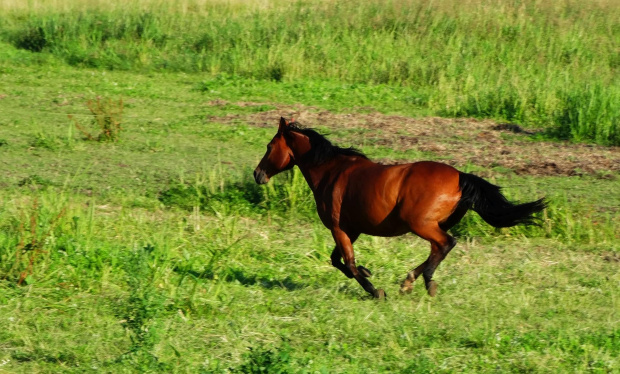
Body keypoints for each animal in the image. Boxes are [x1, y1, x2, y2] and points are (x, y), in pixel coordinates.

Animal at [254, 118, 544, 300]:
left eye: (269, 146)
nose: (258, 174)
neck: (332, 172)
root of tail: (460, 176)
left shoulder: (338, 228)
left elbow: (347, 261)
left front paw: (374, 290)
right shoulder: (352, 229)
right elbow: (338, 260)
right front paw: (368, 274)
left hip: (421, 224)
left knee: (445, 244)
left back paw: (427, 281)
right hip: (434, 224)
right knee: (437, 249)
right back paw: (408, 281)